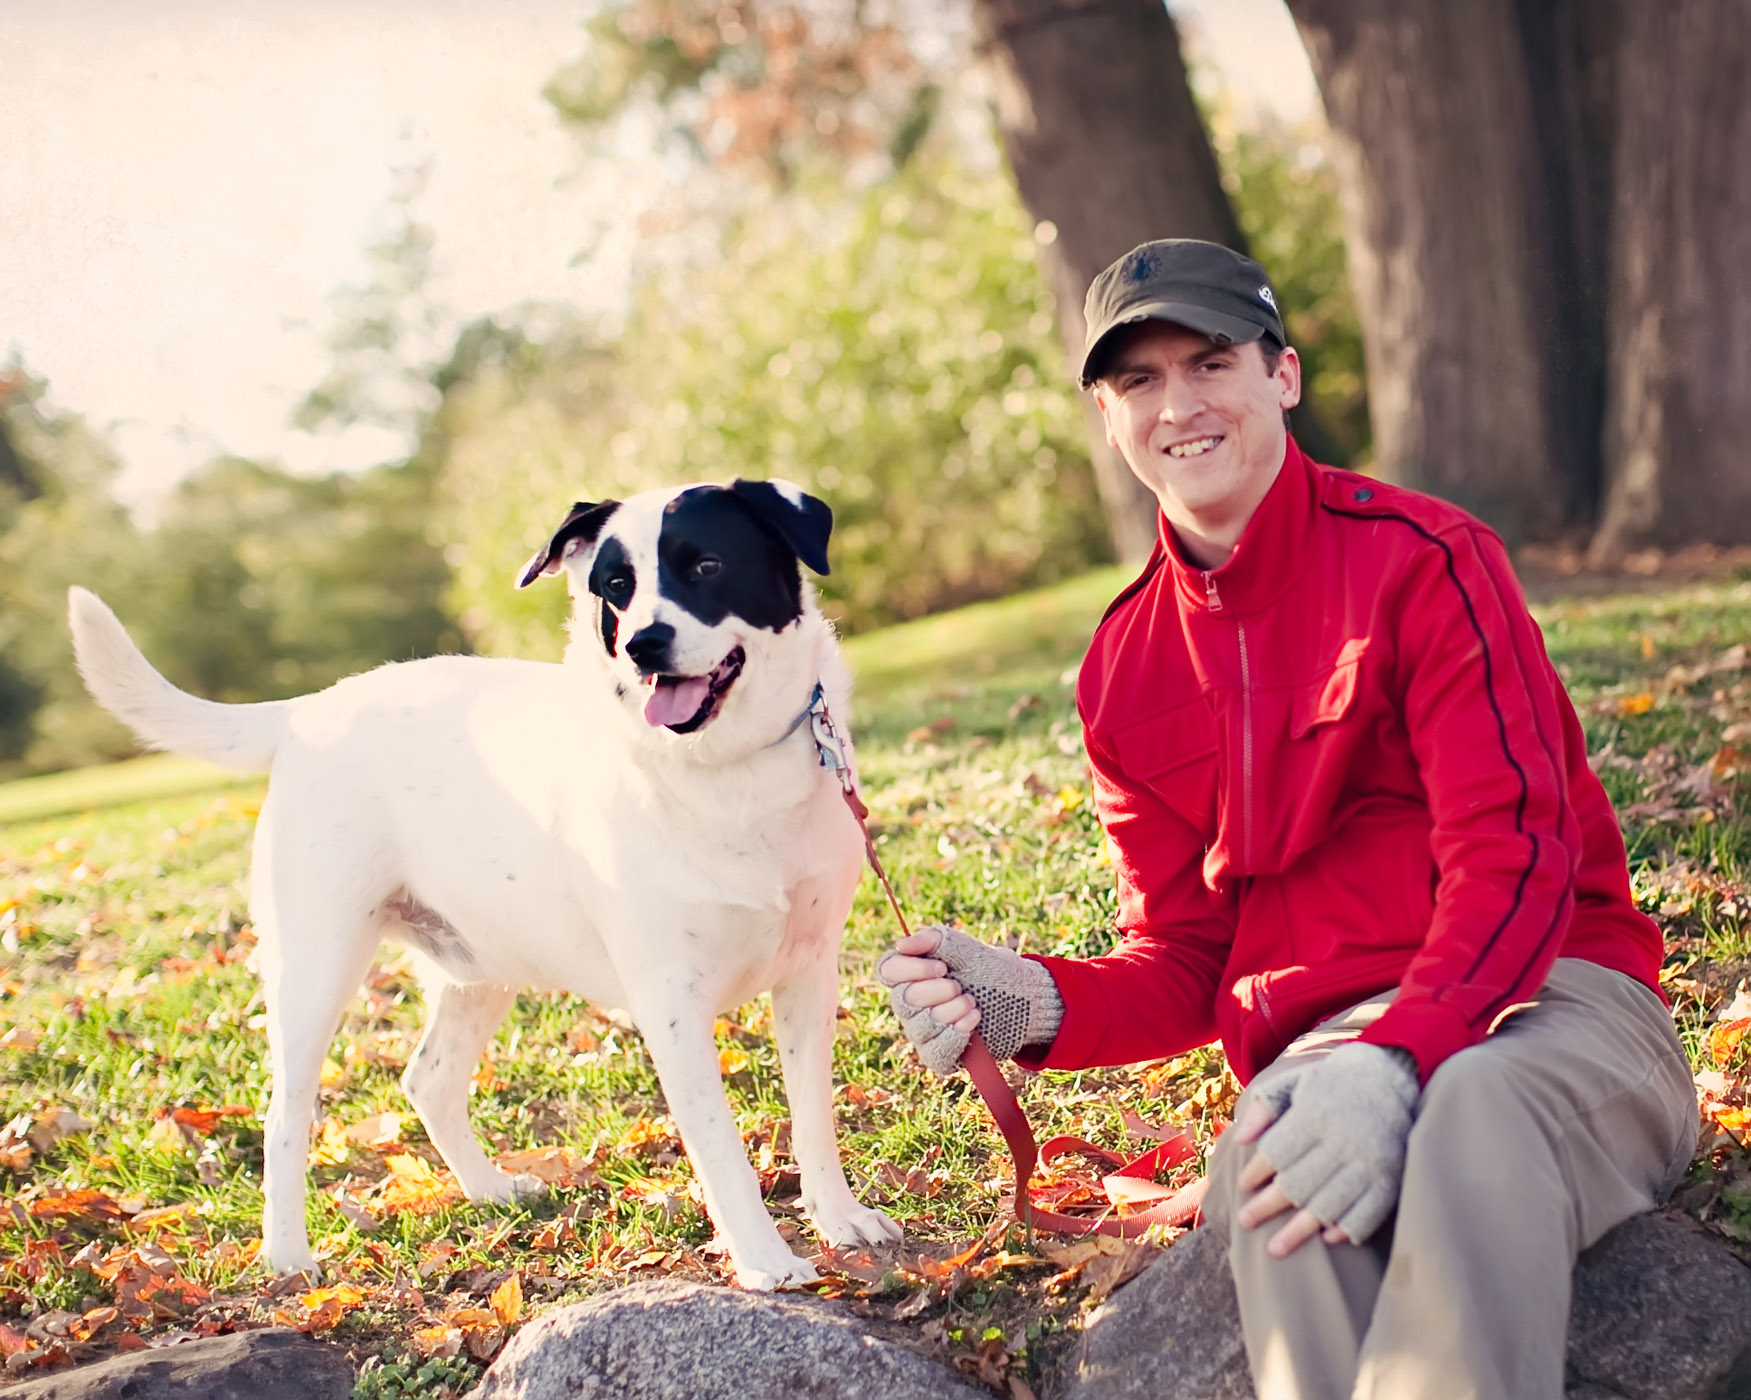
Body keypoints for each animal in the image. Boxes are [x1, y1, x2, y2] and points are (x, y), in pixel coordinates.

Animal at [68, 478, 901, 1289]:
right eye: (616, 587)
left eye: (705, 566)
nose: (642, 645)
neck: (725, 770)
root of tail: (310, 709)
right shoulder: (672, 1006)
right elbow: (720, 1148)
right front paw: (763, 1260)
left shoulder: (808, 975)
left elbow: (812, 1114)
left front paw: (838, 1219)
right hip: (315, 969)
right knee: (284, 1115)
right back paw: (287, 1255)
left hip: (481, 966)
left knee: (427, 1081)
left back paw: (489, 1189)